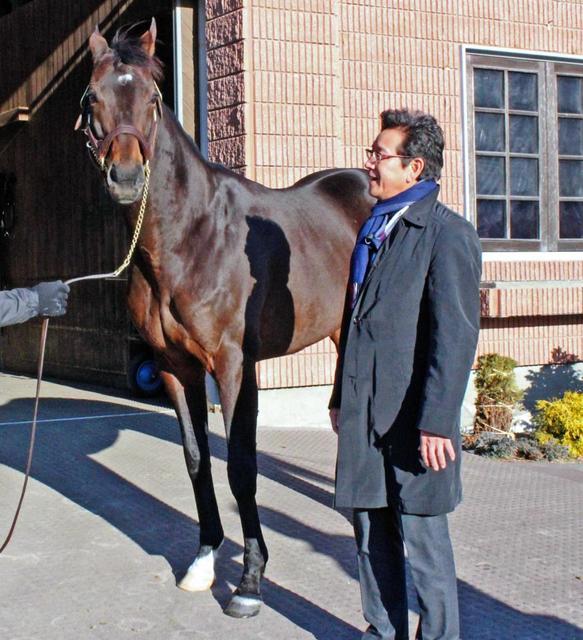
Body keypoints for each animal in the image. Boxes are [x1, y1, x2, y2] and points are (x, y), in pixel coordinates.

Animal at [75, 20, 372, 616]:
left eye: (154, 97)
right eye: (92, 97)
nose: (126, 177)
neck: (191, 236)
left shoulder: (233, 366)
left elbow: (240, 464)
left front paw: (250, 581)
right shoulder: (174, 367)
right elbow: (198, 460)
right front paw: (203, 561)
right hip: (339, 332)